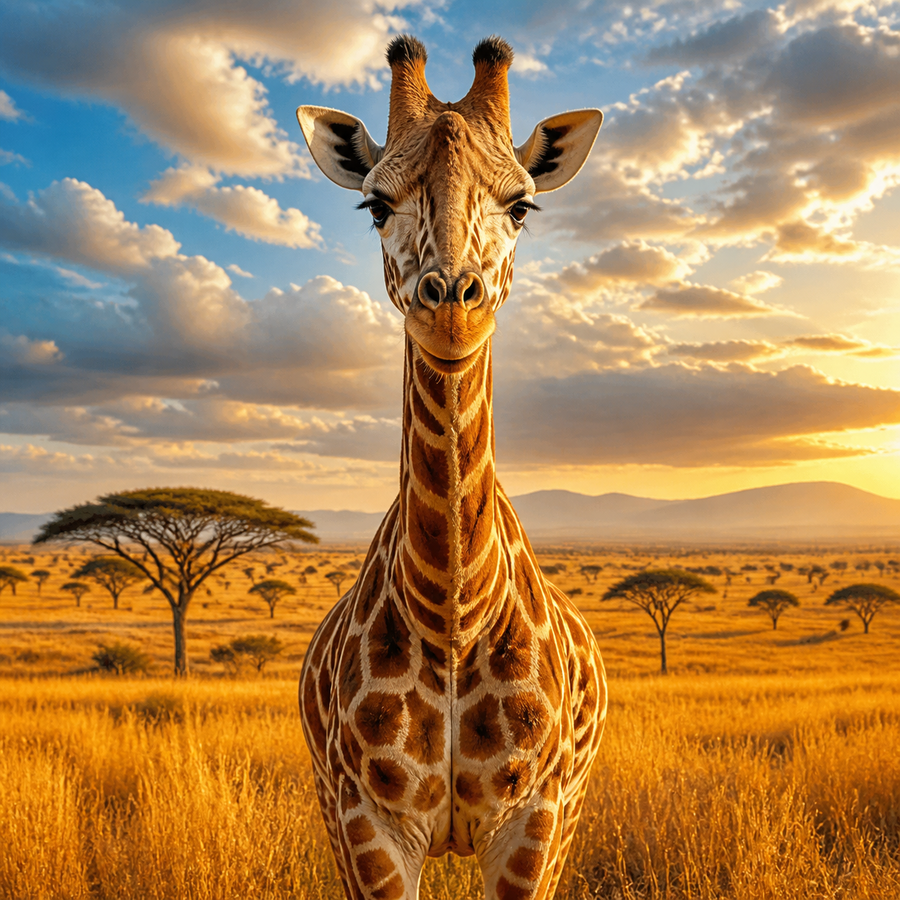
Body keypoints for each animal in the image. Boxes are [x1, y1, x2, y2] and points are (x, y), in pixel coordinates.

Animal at [296, 35, 607, 900]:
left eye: (522, 206)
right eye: (375, 204)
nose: (451, 305)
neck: (453, 610)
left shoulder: (534, 820)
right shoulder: (366, 821)